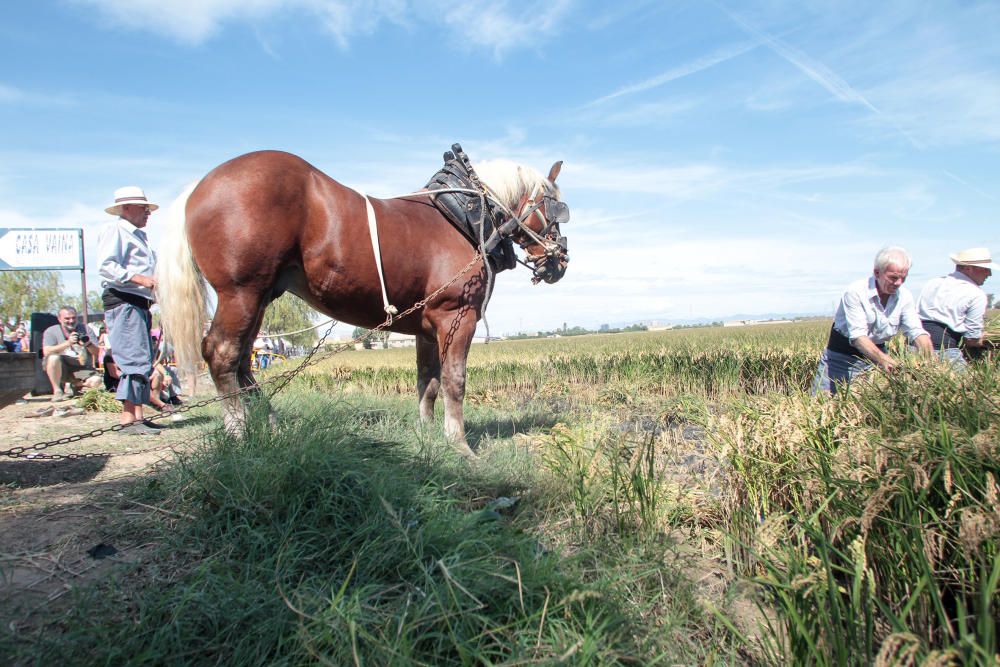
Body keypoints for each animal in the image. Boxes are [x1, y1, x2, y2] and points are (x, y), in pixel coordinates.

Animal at [157, 150, 572, 460]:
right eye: (557, 207)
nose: (560, 261)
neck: (464, 215)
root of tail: (198, 187)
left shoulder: (426, 327)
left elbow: (428, 382)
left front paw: (426, 433)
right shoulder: (456, 315)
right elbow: (454, 381)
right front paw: (459, 444)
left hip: (260, 297)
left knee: (243, 359)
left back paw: (270, 425)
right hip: (241, 291)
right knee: (223, 353)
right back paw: (239, 433)